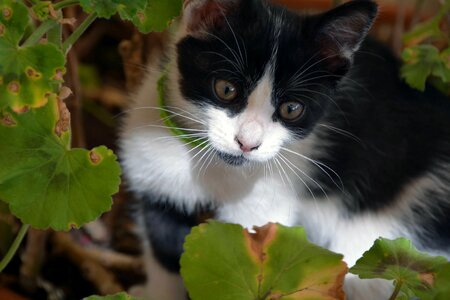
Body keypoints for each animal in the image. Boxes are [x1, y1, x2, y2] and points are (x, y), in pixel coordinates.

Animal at [119, 0, 450, 298]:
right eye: (226, 89)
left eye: (291, 108)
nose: (247, 143)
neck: (214, 166)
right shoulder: (156, 180)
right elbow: (164, 253)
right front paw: (156, 292)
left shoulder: (265, 204)